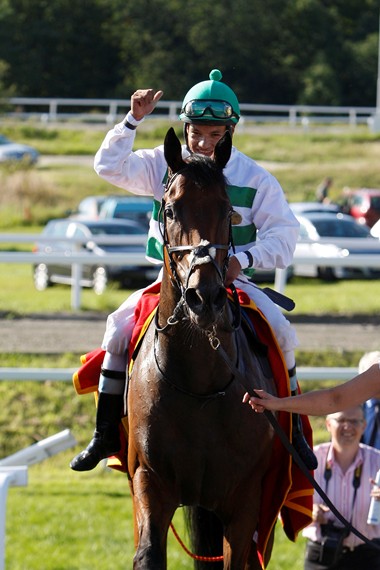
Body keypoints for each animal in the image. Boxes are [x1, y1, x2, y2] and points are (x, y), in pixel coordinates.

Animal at [126, 129, 278, 568]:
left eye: (228, 211)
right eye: (170, 209)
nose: (204, 297)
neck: (199, 385)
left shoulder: (244, 502)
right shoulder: (150, 483)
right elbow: (148, 554)